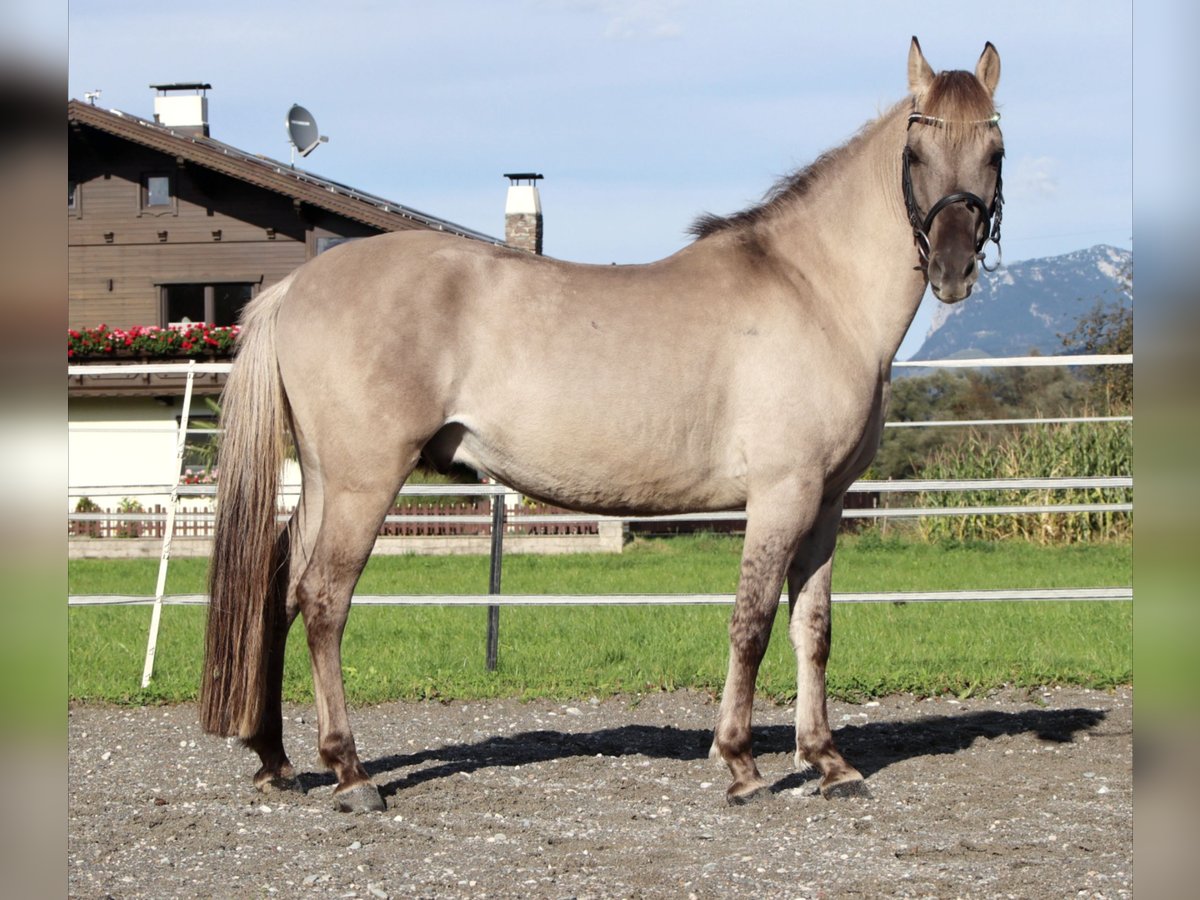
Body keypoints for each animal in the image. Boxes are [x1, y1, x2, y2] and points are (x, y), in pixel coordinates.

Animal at [204, 38, 1003, 816]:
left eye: (994, 150)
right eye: (915, 153)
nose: (953, 271)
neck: (813, 289)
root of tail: (295, 285)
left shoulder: (827, 503)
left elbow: (813, 630)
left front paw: (829, 763)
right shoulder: (782, 495)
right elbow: (751, 623)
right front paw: (741, 764)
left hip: (322, 481)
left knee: (278, 591)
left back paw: (276, 760)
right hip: (362, 482)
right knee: (323, 600)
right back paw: (349, 772)